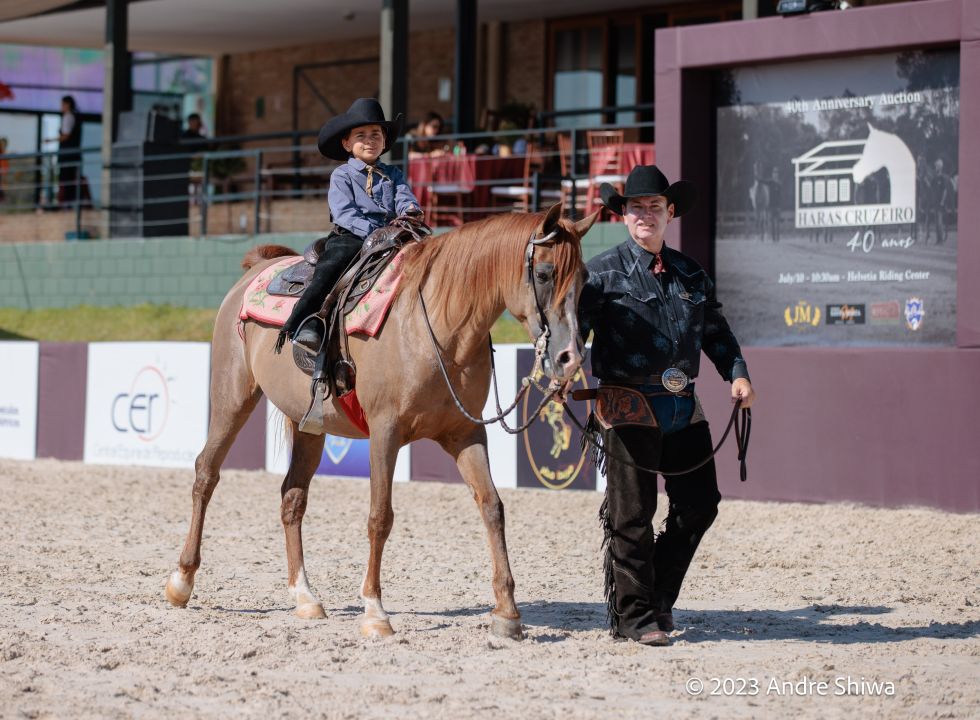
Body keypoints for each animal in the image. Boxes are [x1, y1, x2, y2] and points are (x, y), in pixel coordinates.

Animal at [164, 204, 598, 640]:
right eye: (544, 274)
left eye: (585, 279)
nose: (570, 357)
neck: (436, 324)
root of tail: (257, 267)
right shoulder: (385, 432)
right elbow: (380, 517)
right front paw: (375, 612)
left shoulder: (466, 433)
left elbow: (492, 507)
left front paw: (507, 614)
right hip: (232, 398)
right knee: (206, 473)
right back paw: (182, 581)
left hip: (309, 426)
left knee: (292, 497)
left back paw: (305, 597)